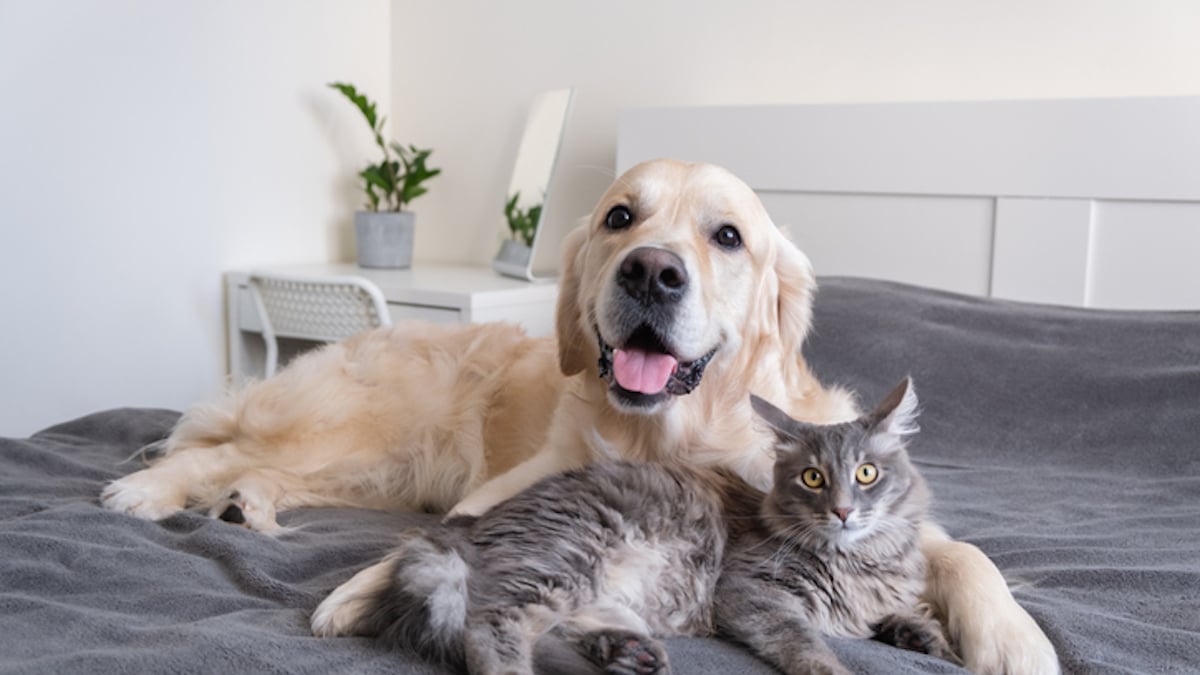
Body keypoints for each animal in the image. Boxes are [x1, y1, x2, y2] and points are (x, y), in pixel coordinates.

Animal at [314, 379, 960, 672]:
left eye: (867, 473)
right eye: (812, 478)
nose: (845, 510)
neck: (860, 560)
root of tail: (467, 527)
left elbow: (903, 614)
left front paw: (927, 638)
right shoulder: (751, 593)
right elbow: (808, 642)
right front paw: (836, 664)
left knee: (561, 627)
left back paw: (627, 652)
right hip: (568, 557)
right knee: (491, 629)